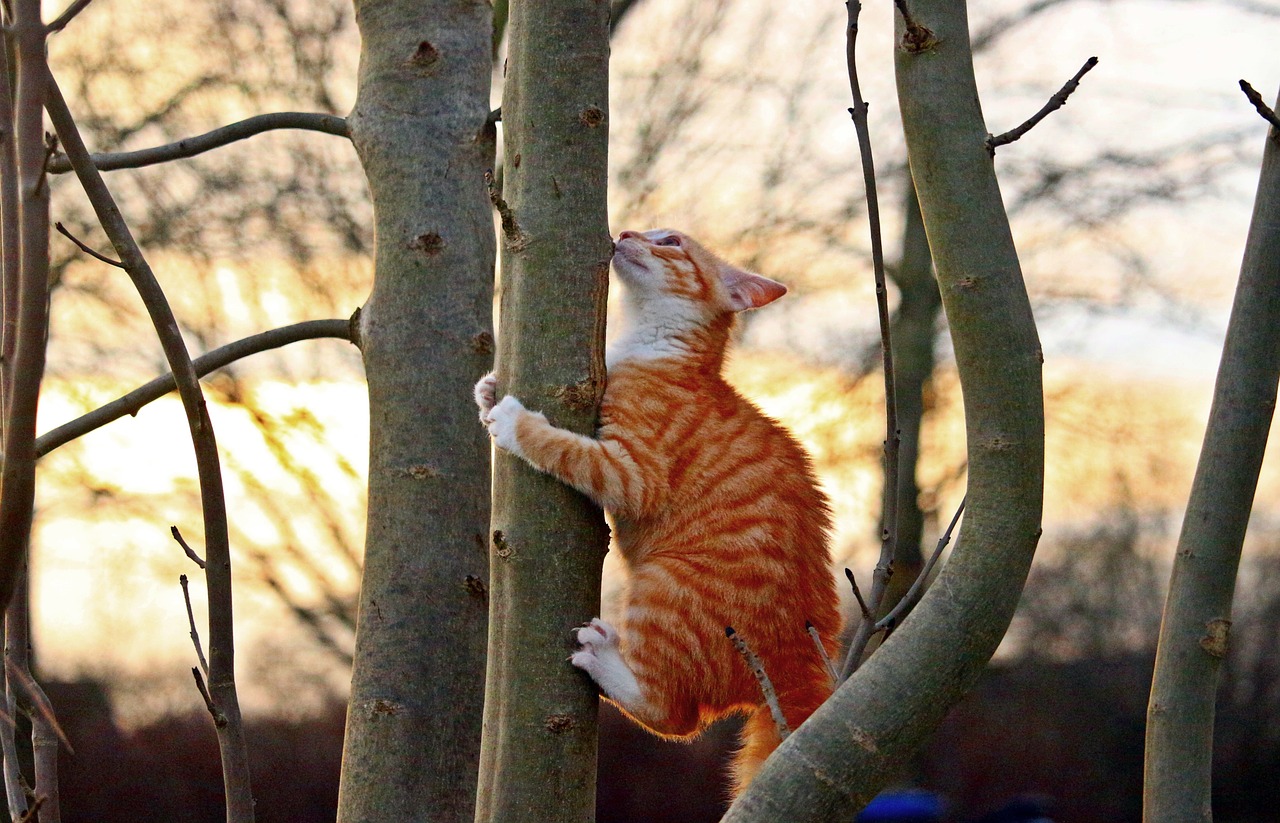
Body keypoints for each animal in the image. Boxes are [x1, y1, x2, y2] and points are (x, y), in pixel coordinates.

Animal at [471, 229, 839, 793]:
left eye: (670, 241)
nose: (626, 233)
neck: (652, 348)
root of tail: (800, 660)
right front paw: (489, 391)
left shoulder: (633, 473)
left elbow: (564, 448)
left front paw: (514, 421)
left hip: (662, 583)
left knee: (676, 717)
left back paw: (604, 659)